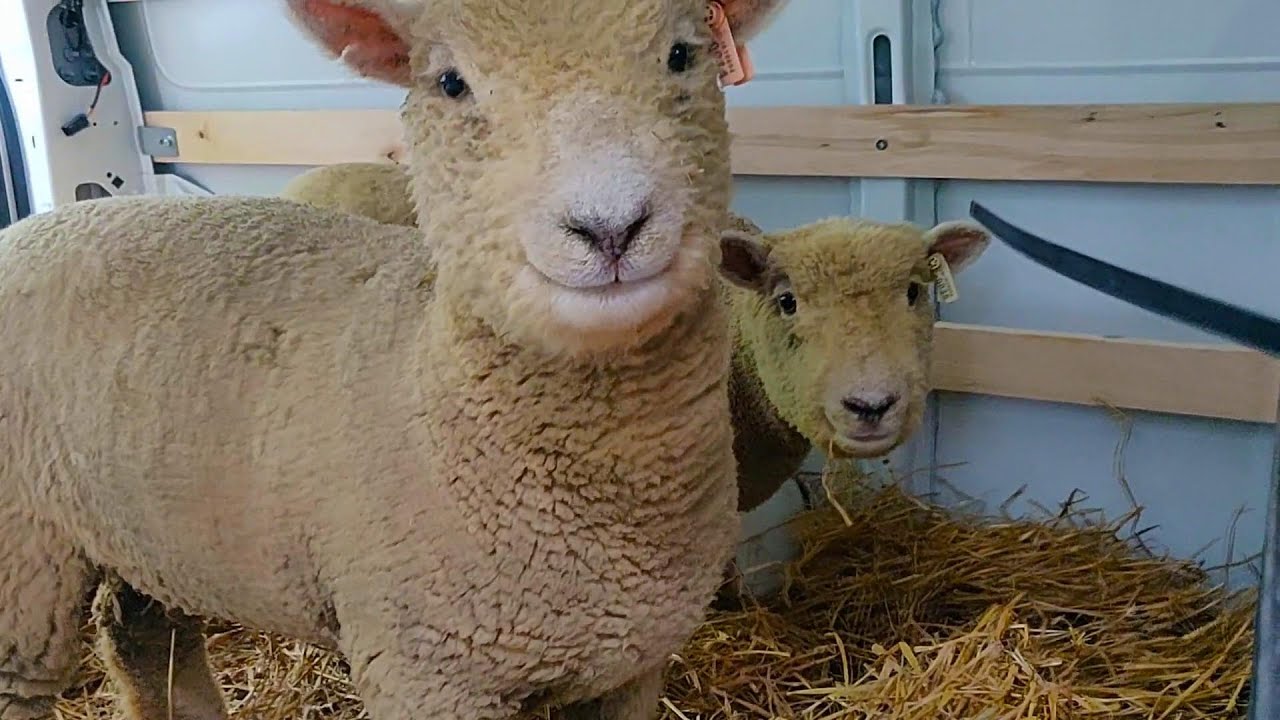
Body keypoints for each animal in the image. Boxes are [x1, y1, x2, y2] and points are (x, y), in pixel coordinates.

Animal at [0, 1, 792, 719]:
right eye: (450, 83)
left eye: (682, 56)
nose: (610, 226)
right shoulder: (426, 671)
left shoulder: (628, 669)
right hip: (22, 559)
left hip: (139, 529)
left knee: (142, 634)